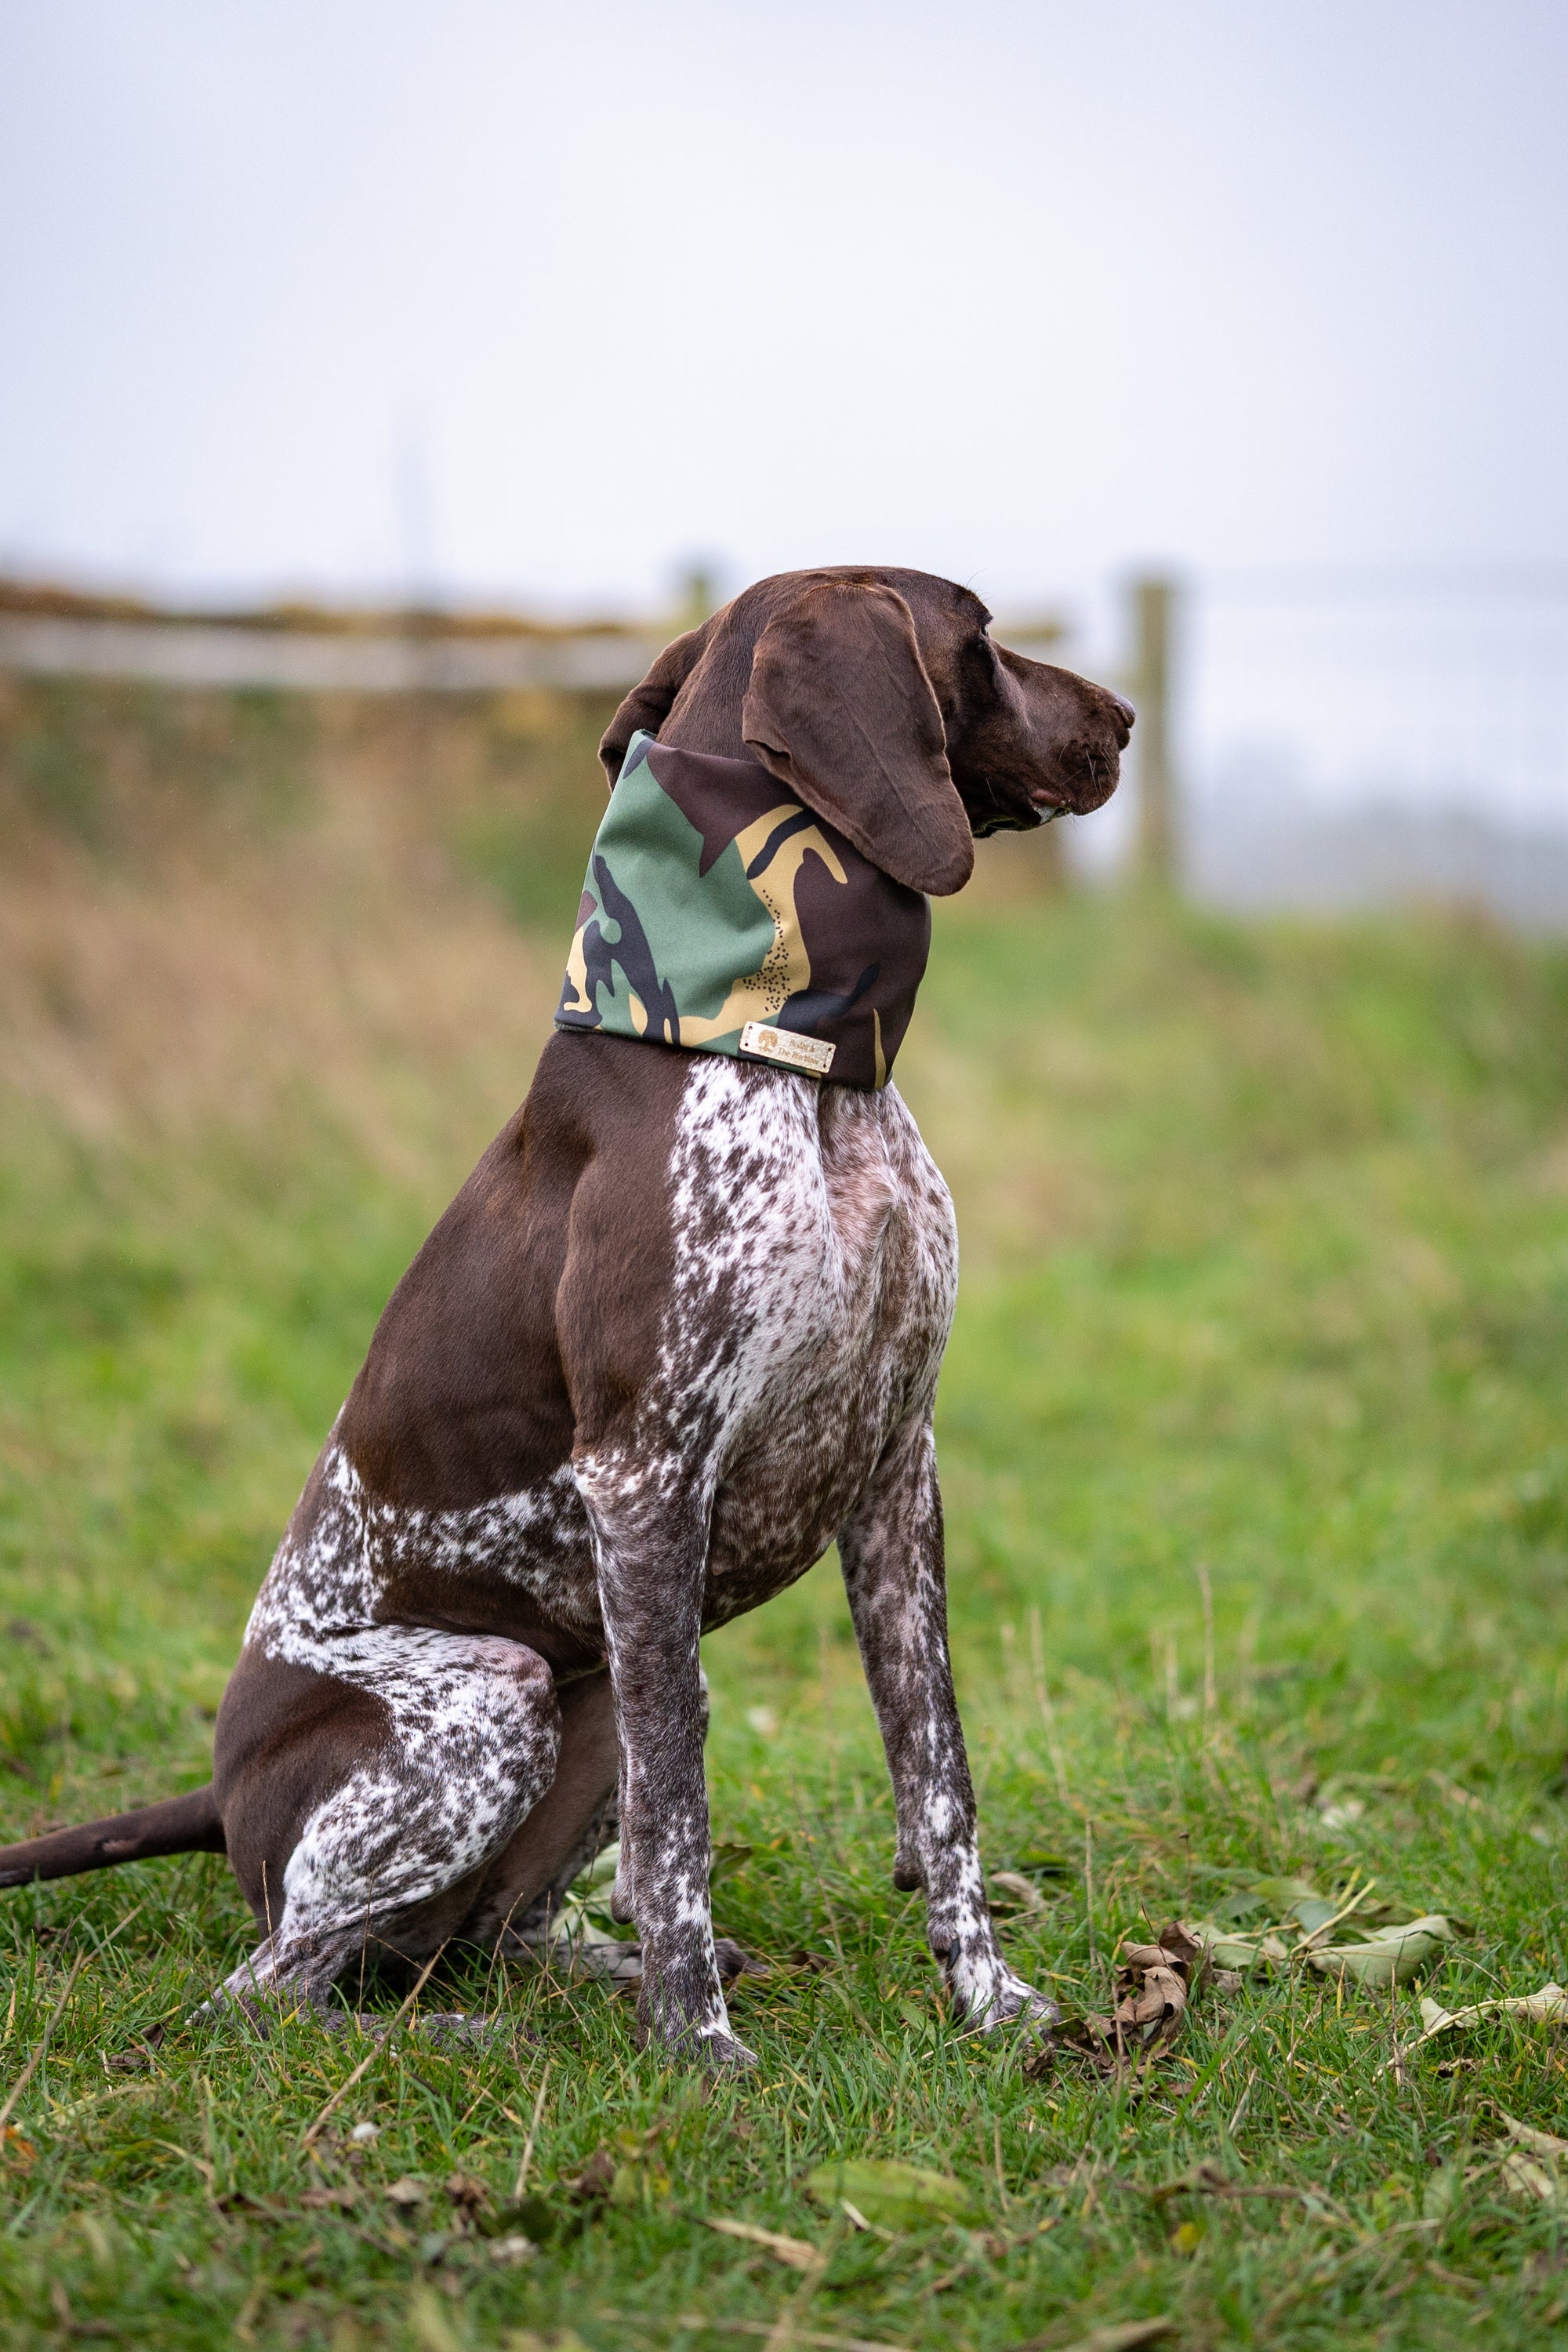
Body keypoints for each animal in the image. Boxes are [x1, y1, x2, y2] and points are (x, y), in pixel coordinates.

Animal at [0, 574, 1128, 2079]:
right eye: (983, 633)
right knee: (271, 1991)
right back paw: (484, 2035)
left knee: (484, 1931)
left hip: (578, 1699)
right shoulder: (647, 1476)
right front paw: (698, 2050)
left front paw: (990, 2001)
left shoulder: (897, 1471)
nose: (1122, 716)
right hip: (498, 1692)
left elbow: (935, 1772)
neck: (793, 1053)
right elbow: (682, 1814)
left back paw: (593, 1980)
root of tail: (220, 1790)